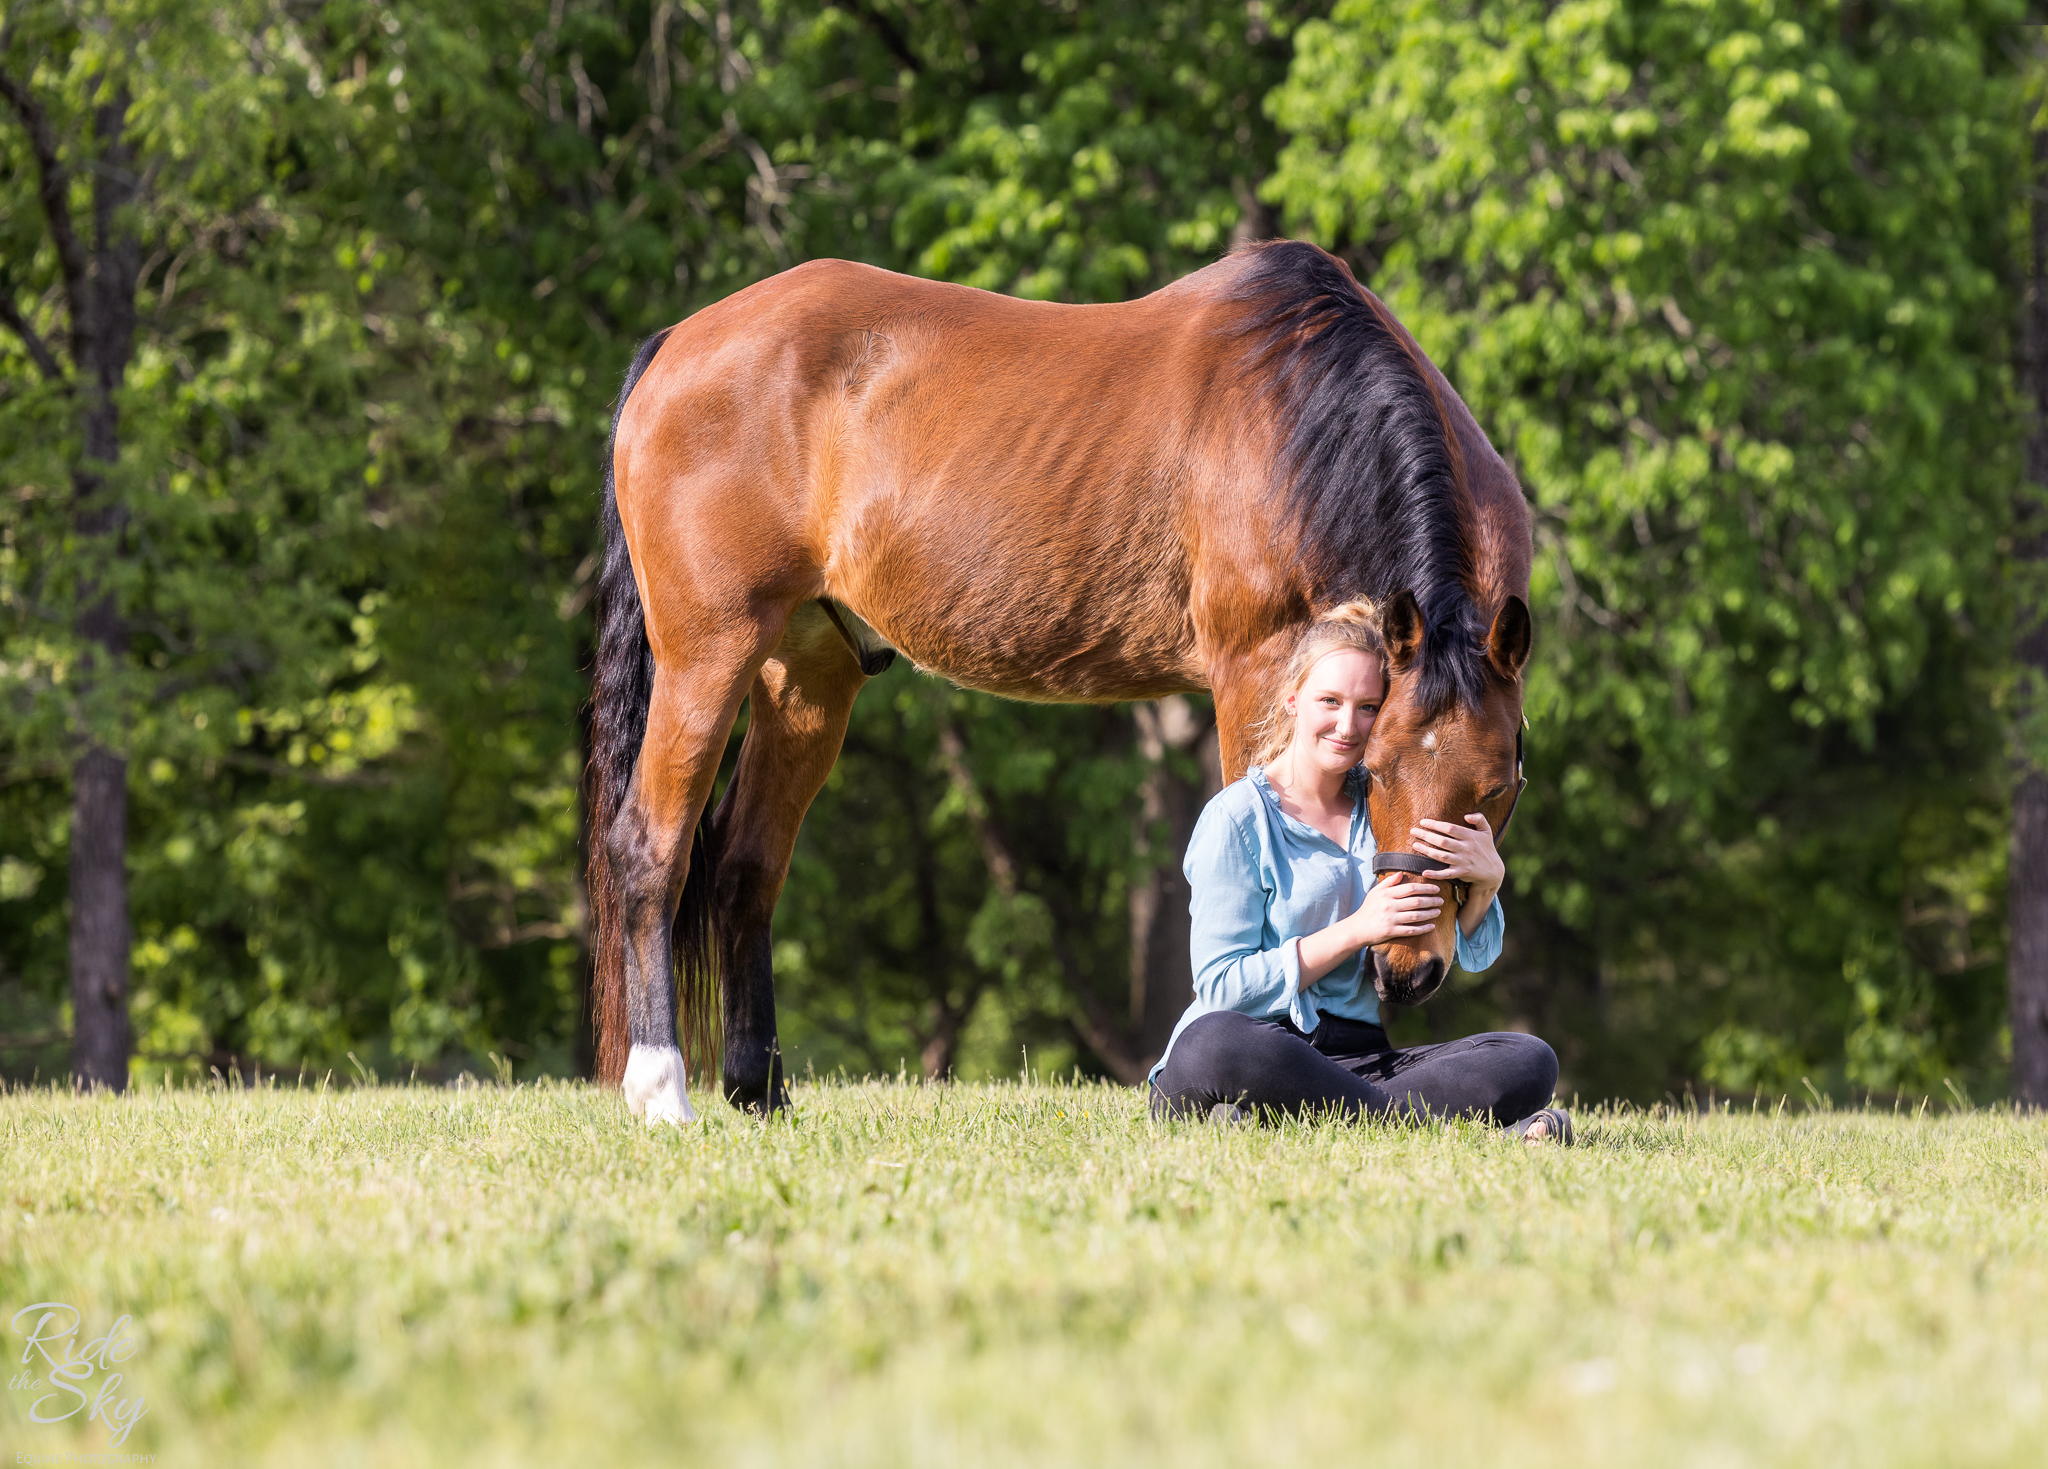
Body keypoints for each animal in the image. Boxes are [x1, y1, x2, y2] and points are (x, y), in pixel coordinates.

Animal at [585, 237, 1531, 1122]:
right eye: (1376, 769)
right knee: (652, 847)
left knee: (748, 865)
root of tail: (678, 345)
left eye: (1498, 787)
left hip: (809, 674)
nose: (1407, 971)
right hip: (709, 652)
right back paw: (661, 1088)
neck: (1303, 416)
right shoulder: (1253, 671)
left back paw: (761, 1091)